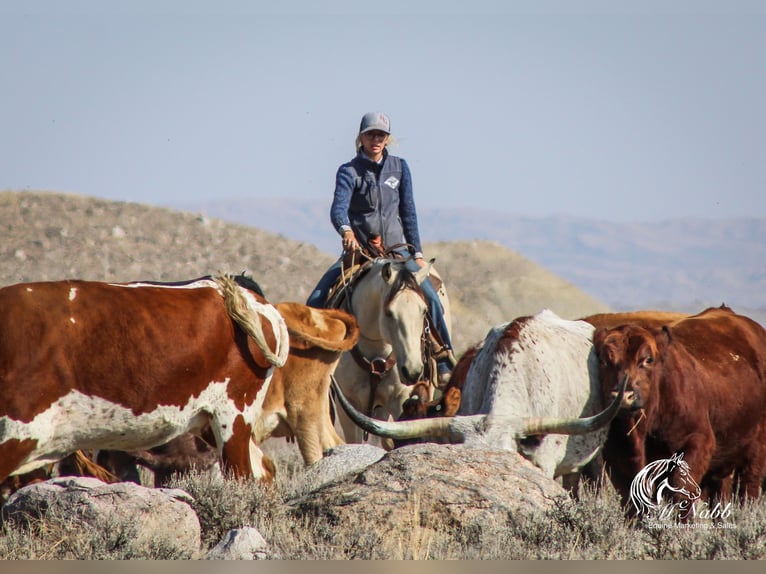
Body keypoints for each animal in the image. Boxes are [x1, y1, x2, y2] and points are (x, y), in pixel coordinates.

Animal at [592, 306, 766, 508]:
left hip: (755, 454)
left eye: (648, 360)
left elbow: (680, 489)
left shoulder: (697, 441)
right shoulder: (618, 457)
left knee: (748, 490)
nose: (623, 396)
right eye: (603, 361)